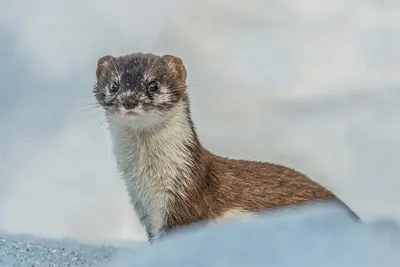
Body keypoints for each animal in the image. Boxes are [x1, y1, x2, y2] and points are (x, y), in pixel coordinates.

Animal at [93, 53, 356, 242]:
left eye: (153, 84)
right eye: (114, 85)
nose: (129, 100)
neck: (149, 186)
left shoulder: (185, 204)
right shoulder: (146, 213)